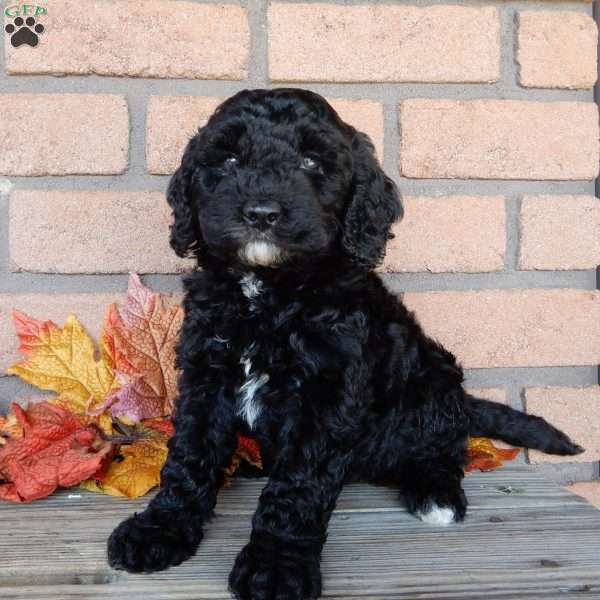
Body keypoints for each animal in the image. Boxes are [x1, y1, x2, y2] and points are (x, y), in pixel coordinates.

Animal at [108, 86, 580, 596]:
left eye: (312, 162)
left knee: (443, 447)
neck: (270, 292)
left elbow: (297, 485)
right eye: (229, 158)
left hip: (431, 382)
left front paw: (277, 564)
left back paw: (435, 492)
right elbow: (189, 454)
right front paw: (160, 528)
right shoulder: (206, 372)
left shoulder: (326, 393)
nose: (261, 213)